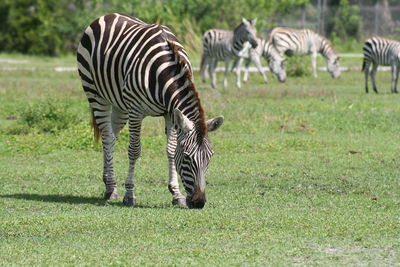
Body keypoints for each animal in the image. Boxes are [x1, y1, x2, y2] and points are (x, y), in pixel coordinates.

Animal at [76, 13, 223, 210]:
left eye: (209, 158)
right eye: (186, 158)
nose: (199, 202)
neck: (166, 73)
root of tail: (108, 15)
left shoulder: (171, 112)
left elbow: (170, 150)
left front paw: (176, 194)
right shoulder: (136, 111)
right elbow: (134, 150)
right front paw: (129, 194)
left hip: (120, 105)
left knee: (111, 137)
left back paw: (108, 182)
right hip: (95, 93)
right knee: (107, 137)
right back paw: (111, 189)